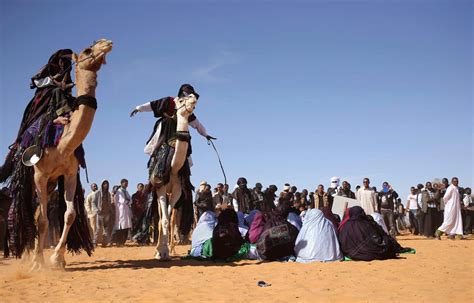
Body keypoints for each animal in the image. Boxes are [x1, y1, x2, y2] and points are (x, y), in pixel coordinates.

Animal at [30, 38, 114, 270]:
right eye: (87, 50)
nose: (106, 43)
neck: (63, 145)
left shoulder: (68, 174)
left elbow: (69, 215)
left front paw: (57, 258)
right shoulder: (40, 174)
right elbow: (43, 220)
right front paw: (40, 263)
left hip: (51, 183)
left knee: (38, 212)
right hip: (35, 179)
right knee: (37, 215)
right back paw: (34, 258)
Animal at [154, 95, 198, 262]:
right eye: (180, 100)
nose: (193, 97)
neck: (173, 167)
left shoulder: (178, 191)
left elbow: (170, 220)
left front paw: (167, 251)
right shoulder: (161, 188)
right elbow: (164, 220)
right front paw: (162, 253)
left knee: (171, 219)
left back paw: (171, 248)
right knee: (161, 218)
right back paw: (157, 249)